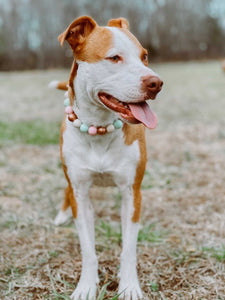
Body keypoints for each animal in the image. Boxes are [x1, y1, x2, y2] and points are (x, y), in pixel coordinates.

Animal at [50, 15, 163, 300]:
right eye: (114, 58)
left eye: (145, 56)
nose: (156, 83)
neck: (99, 128)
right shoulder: (80, 193)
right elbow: (88, 249)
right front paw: (86, 286)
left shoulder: (132, 193)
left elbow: (129, 249)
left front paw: (129, 286)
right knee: (66, 190)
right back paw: (61, 215)